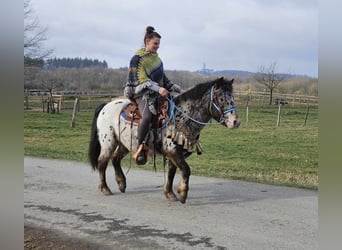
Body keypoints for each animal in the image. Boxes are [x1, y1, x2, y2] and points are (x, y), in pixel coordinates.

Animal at [88, 77, 240, 204]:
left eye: (232, 97)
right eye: (221, 98)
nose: (235, 122)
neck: (182, 116)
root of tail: (105, 106)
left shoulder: (176, 153)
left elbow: (172, 172)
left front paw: (170, 193)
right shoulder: (173, 151)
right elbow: (186, 170)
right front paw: (182, 193)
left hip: (125, 144)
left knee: (115, 159)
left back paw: (121, 183)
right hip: (108, 142)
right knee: (102, 162)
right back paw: (105, 189)